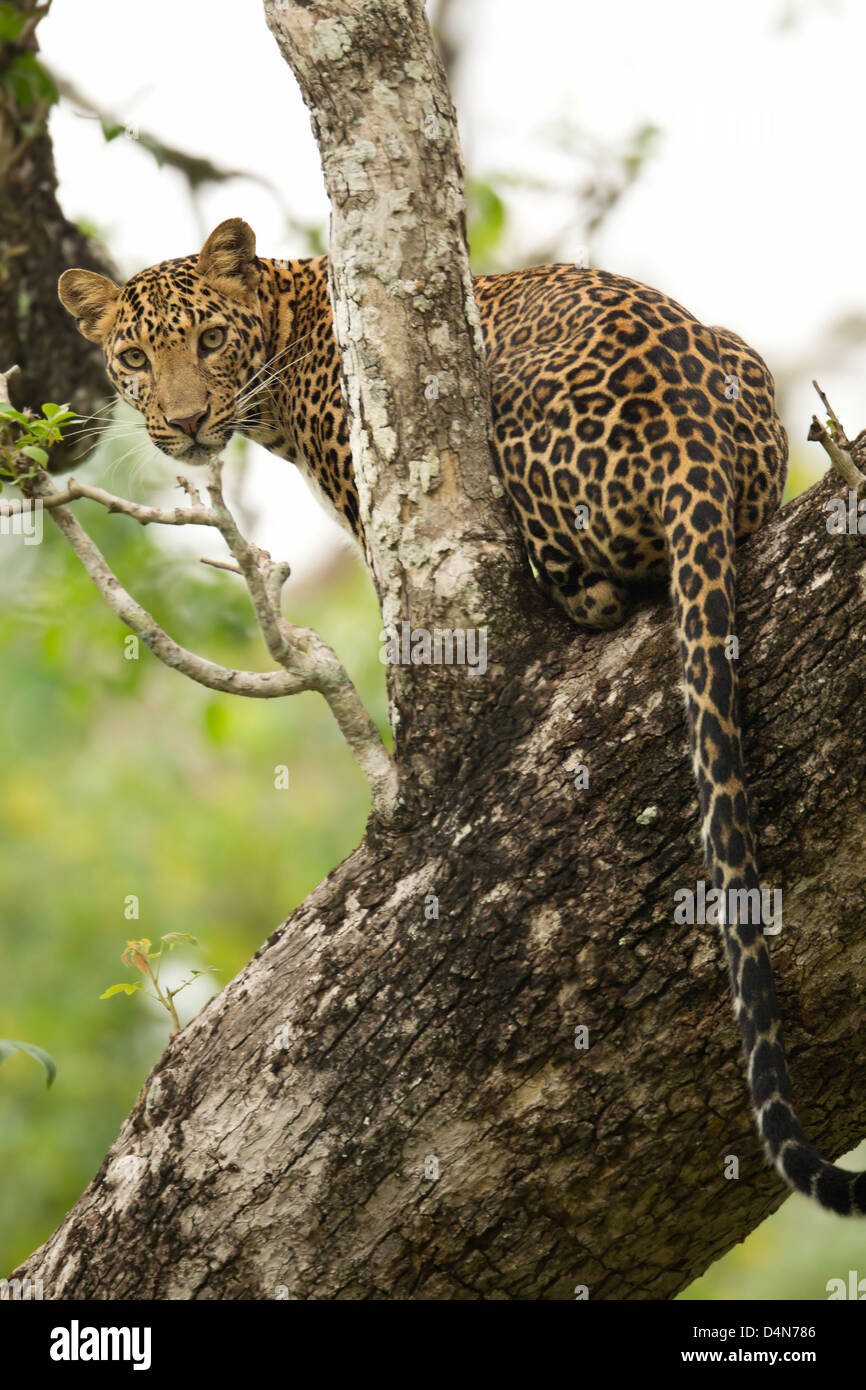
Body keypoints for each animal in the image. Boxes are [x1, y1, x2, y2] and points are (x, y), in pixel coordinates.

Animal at [59, 216, 866, 1217]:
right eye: (133, 357)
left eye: (209, 340)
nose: (185, 421)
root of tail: (691, 436)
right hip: (745, 366)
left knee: (597, 593)